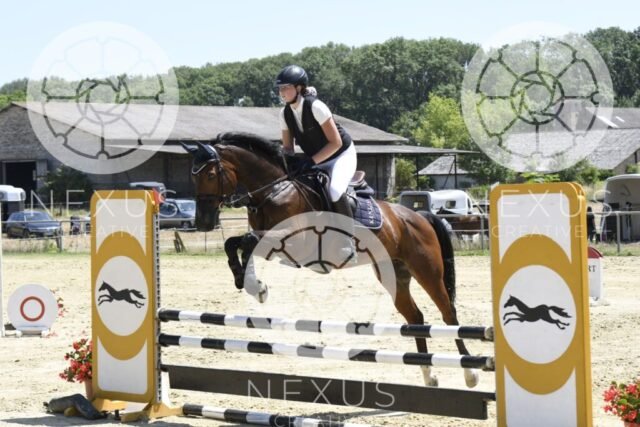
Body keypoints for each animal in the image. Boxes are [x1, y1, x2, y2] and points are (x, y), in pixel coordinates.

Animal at [182, 132, 479, 388]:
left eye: (210, 174)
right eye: (193, 178)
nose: (203, 222)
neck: (274, 191)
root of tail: (420, 216)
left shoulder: (296, 243)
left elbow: (247, 241)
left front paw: (257, 286)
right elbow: (237, 242)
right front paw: (250, 283)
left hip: (427, 270)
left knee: (448, 314)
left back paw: (470, 374)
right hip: (394, 273)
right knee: (416, 316)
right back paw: (429, 375)